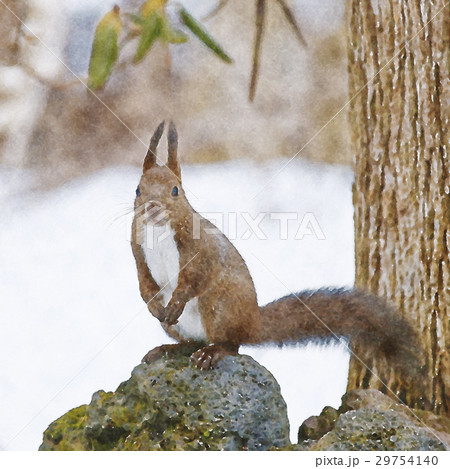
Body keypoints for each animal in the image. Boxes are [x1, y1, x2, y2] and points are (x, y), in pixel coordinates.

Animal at [130, 121, 422, 380]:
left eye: (175, 190)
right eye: (138, 190)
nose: (152, 208)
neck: (159, 232)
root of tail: (253, 321)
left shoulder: (200, 249)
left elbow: (192, 279)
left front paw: (174, 304)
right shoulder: (137, 250)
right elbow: (144, 283)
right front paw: (155, 306)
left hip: (220, 305)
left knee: (232, 344)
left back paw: (212, 353)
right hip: (184, 326)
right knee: (193, 342)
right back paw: (168, 348)